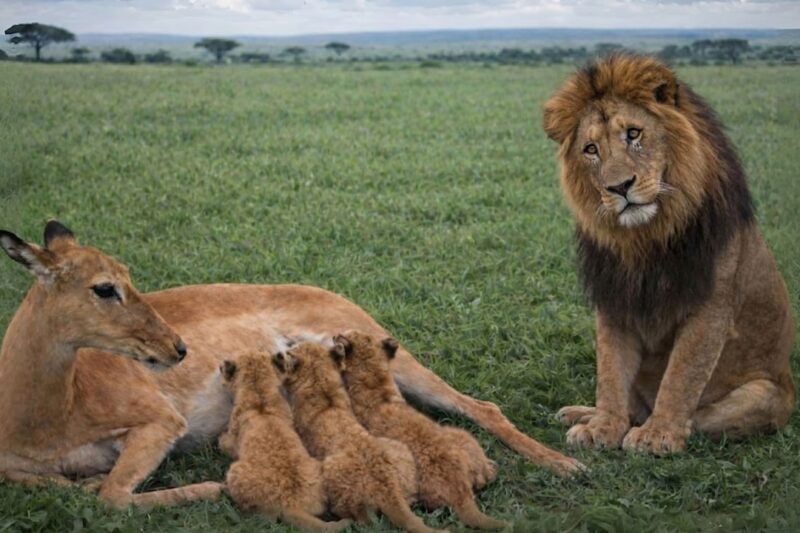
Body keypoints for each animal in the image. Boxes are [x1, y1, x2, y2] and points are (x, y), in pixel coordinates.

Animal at [0, 221, 581, 509]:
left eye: (126, 276)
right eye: (104, 287)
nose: (177, 348)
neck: (46, 413)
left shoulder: (160, 422)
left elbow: (113, 497)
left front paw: (210, 489)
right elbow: (64, 485)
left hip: (403, 363)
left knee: (482, 405)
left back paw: (568, 464)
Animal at [217, 353, 351, 532]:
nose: (220, 366)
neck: (259, 394)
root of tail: (291, 504)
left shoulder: (233, 438)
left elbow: (224, 442)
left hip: (235, 472)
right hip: (316, 468)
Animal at [273, 342, 445, 533]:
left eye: (290, 352)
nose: (281, 350)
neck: (320, 383)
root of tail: (388, 488)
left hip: (333, 474)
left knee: (362, 518)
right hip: (398, 450)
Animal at [542, 54, 795, 454]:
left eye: (633, 134)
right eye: (591, 149)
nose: (619, 187)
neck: (645, 239)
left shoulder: (710, 307)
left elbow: (682, 374)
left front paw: (659, 434)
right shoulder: (614, 300)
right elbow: (610, 372)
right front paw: (603, 425)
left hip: (764, 393)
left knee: (702, 417)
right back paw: (584, 414)